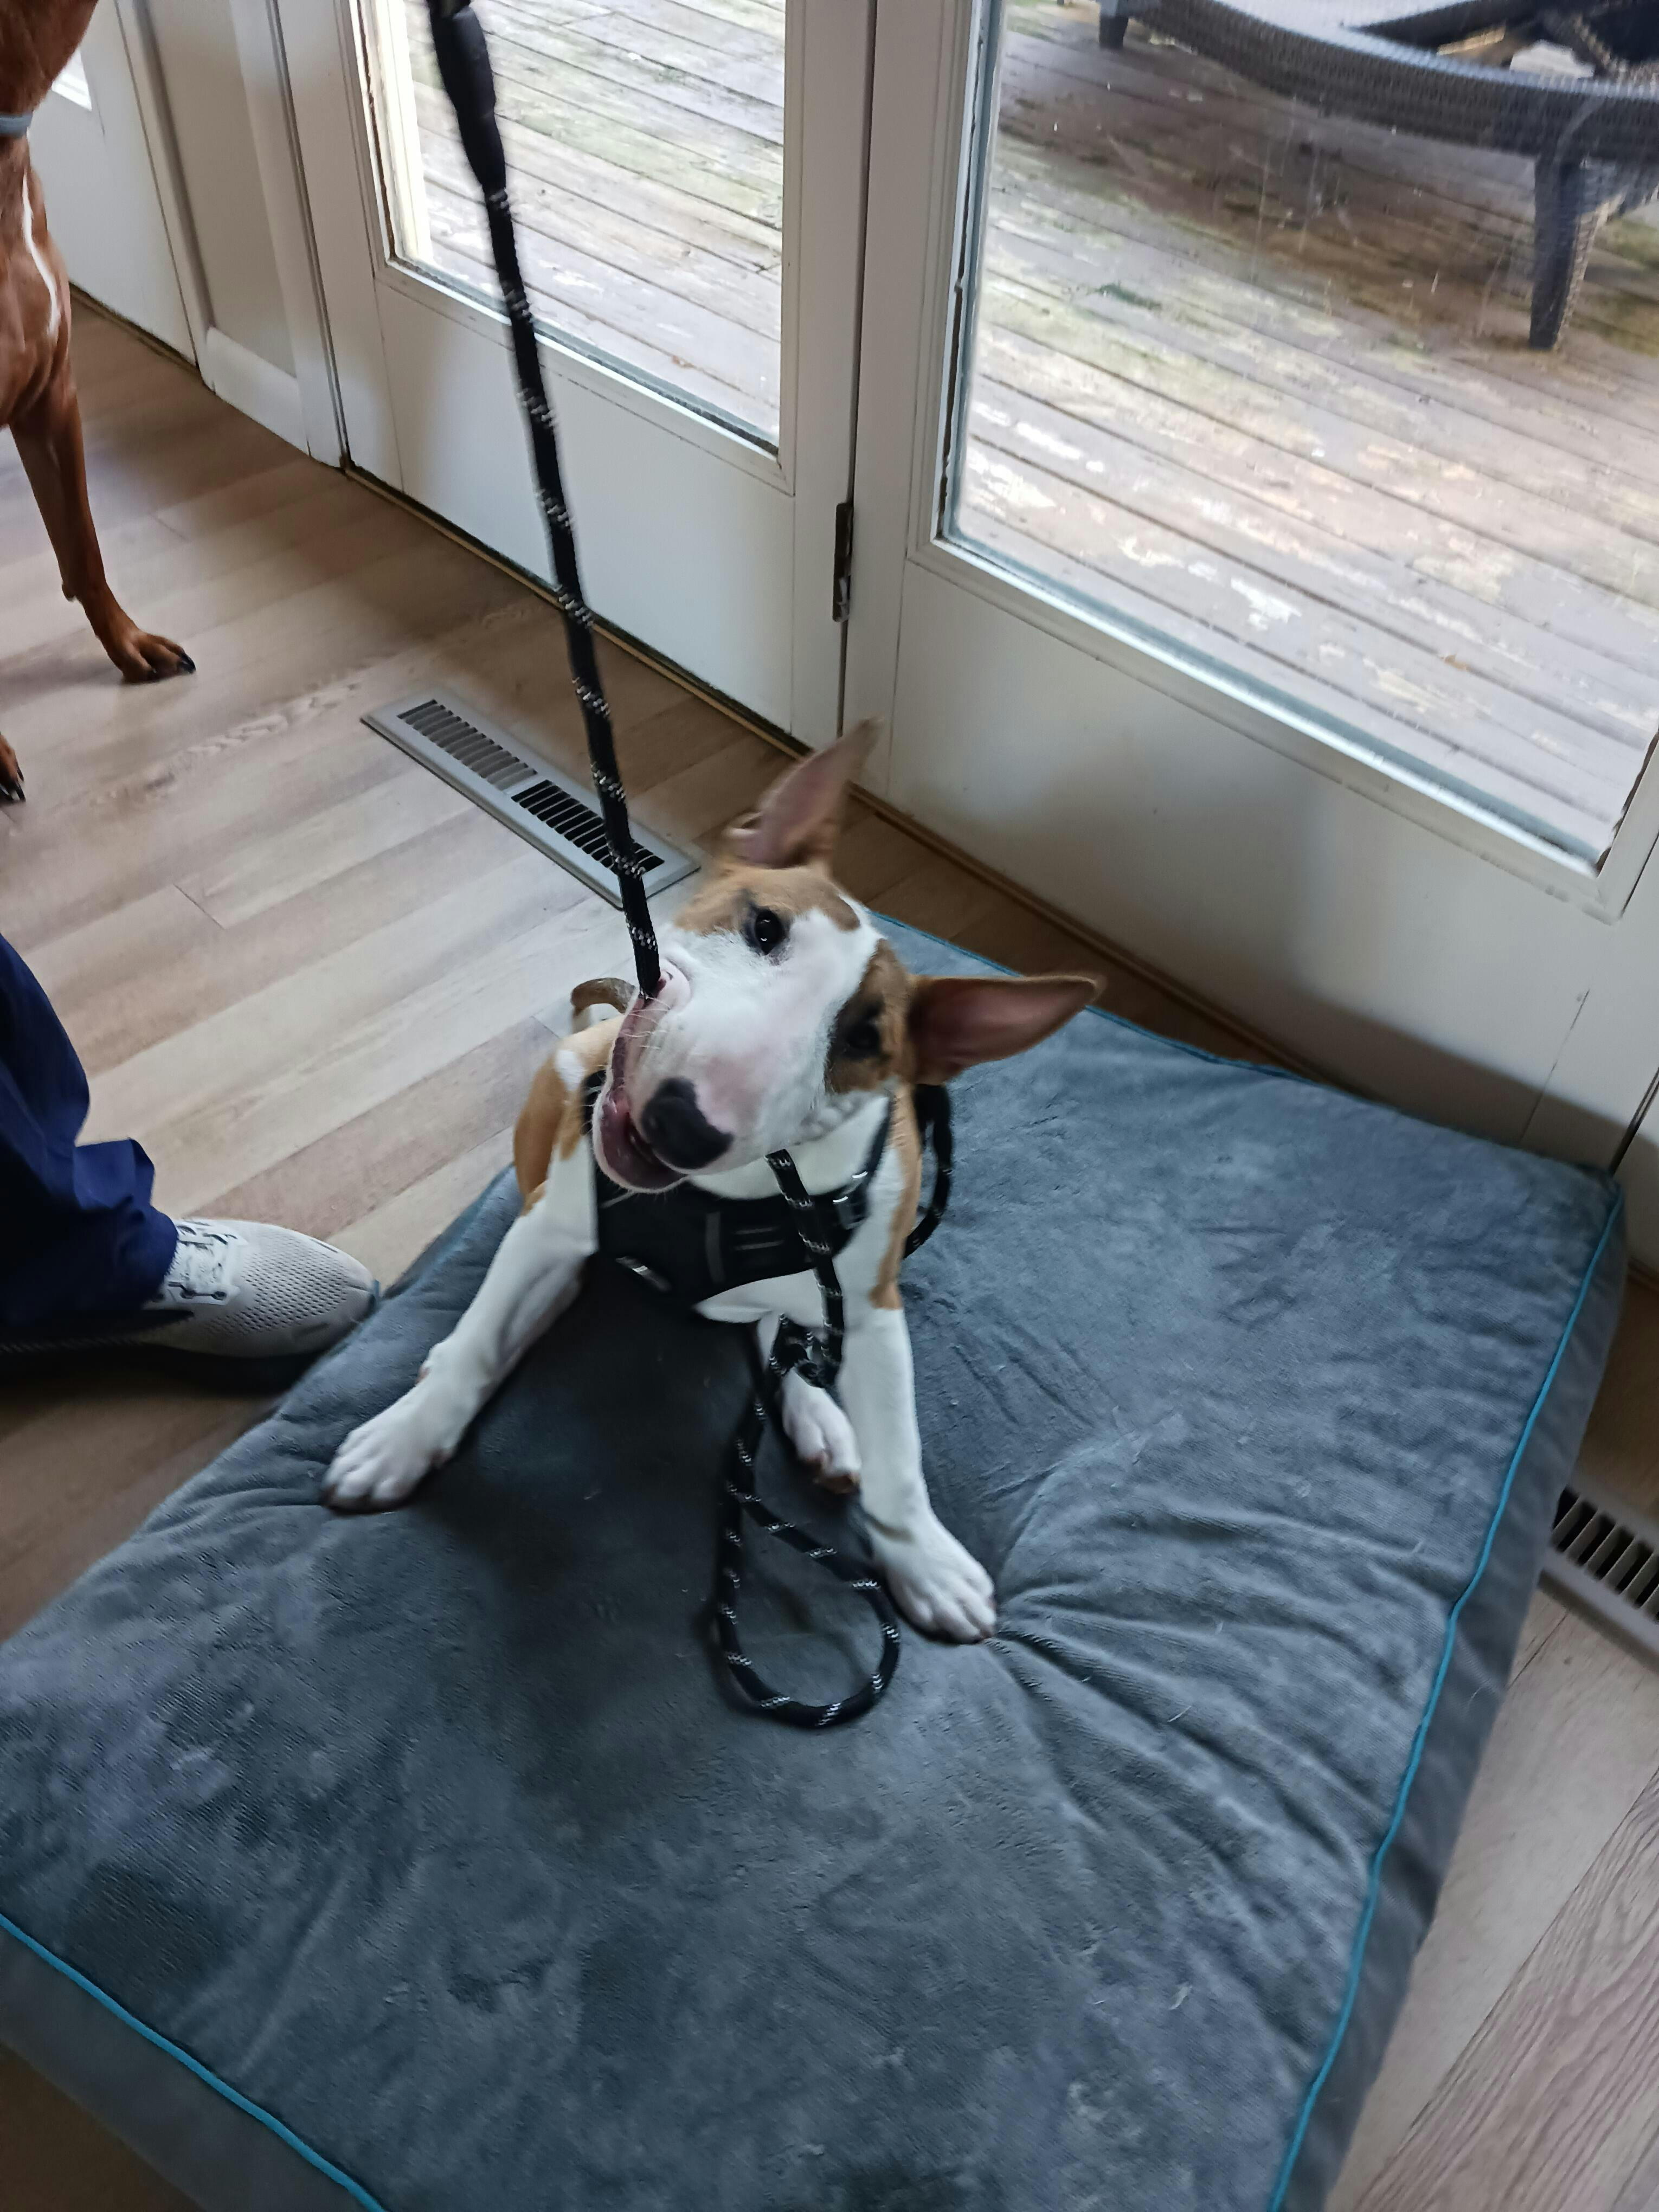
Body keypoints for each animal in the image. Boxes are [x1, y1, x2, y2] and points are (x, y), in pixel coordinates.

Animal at [322, 726, 1095, 1641]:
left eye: (865, 1040)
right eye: (763, 926)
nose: (683, 1124)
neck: (725, 1198)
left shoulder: (874, 1307)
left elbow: (900, 1460)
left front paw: (927, 1562)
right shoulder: (551, 1227)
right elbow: (476, 1343)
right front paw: (403, 1441)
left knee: (779, 1335)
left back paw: (822, 1421)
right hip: (563, 1088)